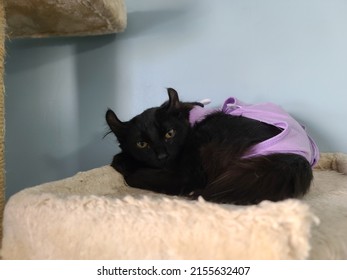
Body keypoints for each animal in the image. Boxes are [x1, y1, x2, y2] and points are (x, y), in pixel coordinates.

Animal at [104, 88, 316, 205]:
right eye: (142, 144)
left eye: (169, 134)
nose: (162, 156)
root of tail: (294, 156)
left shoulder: (184, 171)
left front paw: (122, 162)